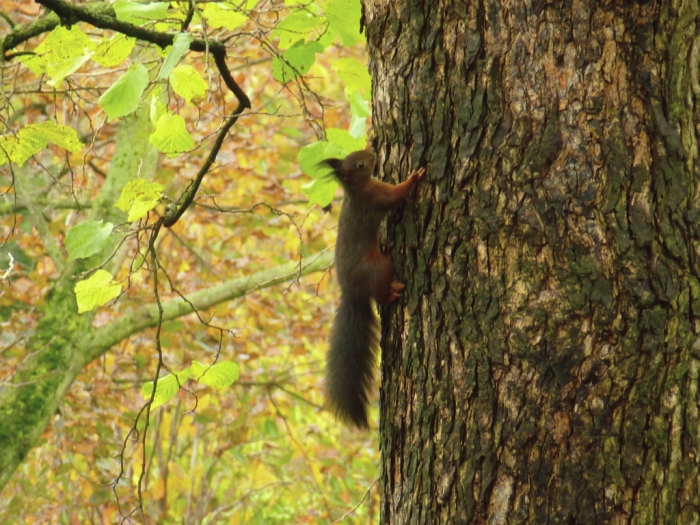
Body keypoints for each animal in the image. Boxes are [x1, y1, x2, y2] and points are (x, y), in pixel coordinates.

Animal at [321, 147, 425, 429]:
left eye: (357, 155)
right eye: (360, 164)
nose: (371, 151)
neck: (357, 190)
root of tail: (352, 293)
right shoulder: (378, 196)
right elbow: (397, 195)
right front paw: (414, 177)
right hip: (377, 265)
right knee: (380, 293)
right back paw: (392, 292)